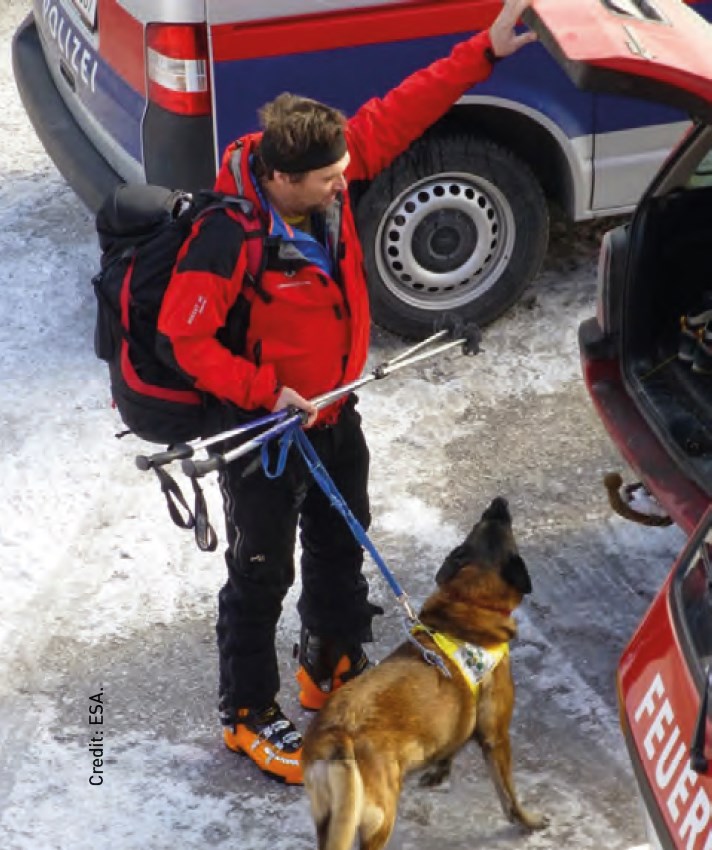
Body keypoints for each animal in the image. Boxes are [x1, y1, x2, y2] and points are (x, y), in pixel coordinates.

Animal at [300, 496, 544, 848]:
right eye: (499, 520)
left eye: (482, 522)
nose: (499, 501)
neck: (468, 604)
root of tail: (337, 734)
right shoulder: (496, 736)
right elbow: (509, 796)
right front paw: (529, 821)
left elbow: (453, 741)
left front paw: (439, 770)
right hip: (378, 819)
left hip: (330, 821)